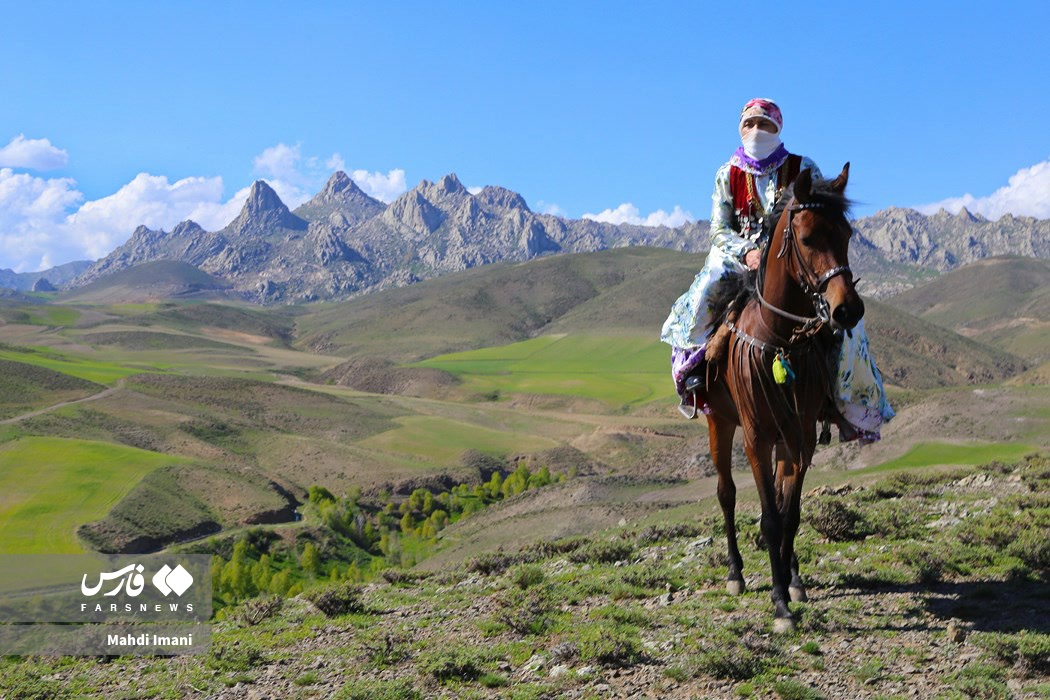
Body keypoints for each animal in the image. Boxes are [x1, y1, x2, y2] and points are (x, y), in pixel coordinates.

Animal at [705, 164, 860, 633]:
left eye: (847, 234)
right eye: (807, 238)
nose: (848, 309)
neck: (779, 341)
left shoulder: (801, 435)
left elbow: (790, 513)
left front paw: (790, 583)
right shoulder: (756, 436)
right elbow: (771, 518)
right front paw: (779, 605)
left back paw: (791, 574)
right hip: (720, 423)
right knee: (726, 493)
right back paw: (736, 572)